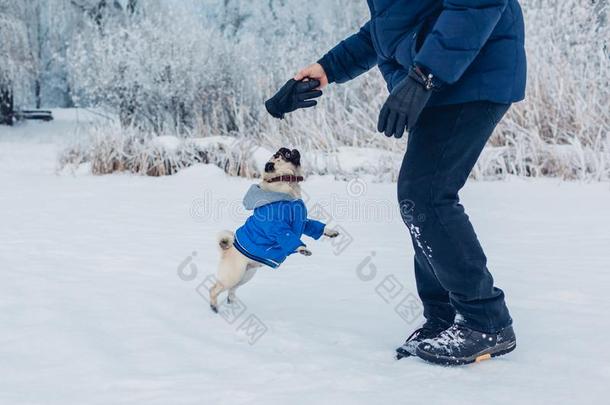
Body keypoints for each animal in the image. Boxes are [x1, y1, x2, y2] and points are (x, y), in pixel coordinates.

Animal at [209, 147, 338, 310]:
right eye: (283, 154)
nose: (291, 149)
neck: (282, 181)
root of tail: (226, 250)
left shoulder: (304, 222)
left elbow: (314, 225)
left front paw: (330, 232)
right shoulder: (278, 227)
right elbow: (289, 238)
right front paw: (302, 249)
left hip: (245, 275)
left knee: (231, 290)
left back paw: (233, 304)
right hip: (233, 274)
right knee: (215, 289)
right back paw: (214, 306)